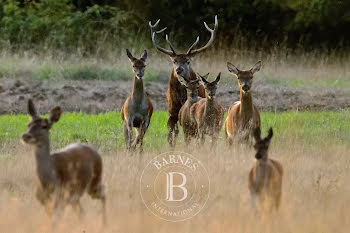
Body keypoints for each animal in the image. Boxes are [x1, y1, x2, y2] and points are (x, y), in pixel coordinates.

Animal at [149, 15, 217, 148]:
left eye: (188, 61)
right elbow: (170, 136)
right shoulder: (172, 112)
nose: (179, 69)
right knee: (176, 132)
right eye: (174, 61)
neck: (181, 99)